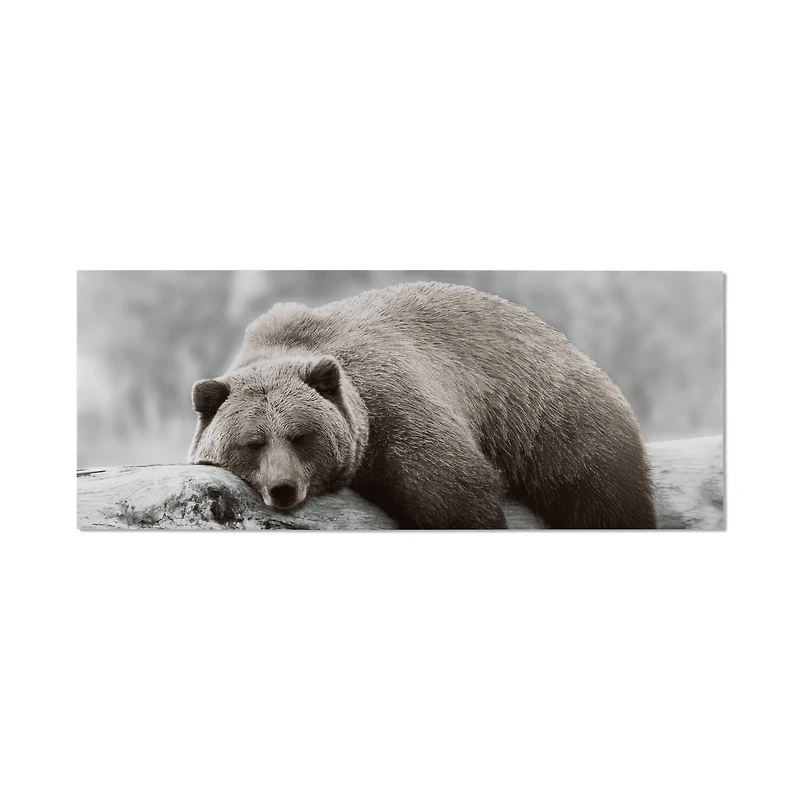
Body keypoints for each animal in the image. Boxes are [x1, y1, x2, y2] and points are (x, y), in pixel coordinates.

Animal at [189, 281, 656, 529]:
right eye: (252, 442)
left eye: (301, 436)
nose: (283, 488)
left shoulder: (394, 404)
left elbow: (455, 491)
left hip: (552, 420)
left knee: (604, 500)